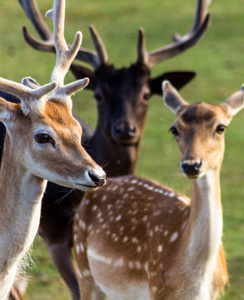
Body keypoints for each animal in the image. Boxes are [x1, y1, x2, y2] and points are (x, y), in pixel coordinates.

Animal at [74, 80, 244, 300]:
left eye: (221, 127)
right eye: (174, 129)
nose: (191, 165)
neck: (196, 282)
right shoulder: (157, 288)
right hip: (84, 266)